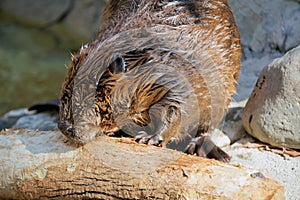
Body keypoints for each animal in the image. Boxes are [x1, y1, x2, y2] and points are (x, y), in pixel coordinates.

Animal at [58, 0, 241, 162]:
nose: (65, 129)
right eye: (65, 95)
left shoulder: (179, 75)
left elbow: (177, 107)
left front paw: (151, 138)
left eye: (90, 100)